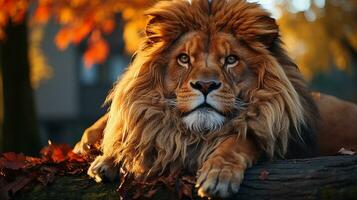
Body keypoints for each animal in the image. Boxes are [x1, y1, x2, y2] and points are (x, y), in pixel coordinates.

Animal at [73, 0, 356, 197]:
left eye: (230, 59)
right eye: (184, 59)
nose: (205, 85)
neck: (195, 134)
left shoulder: (269, 134)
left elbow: (237, 142)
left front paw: (219, 176)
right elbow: (139, 132)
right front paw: (108, 159)